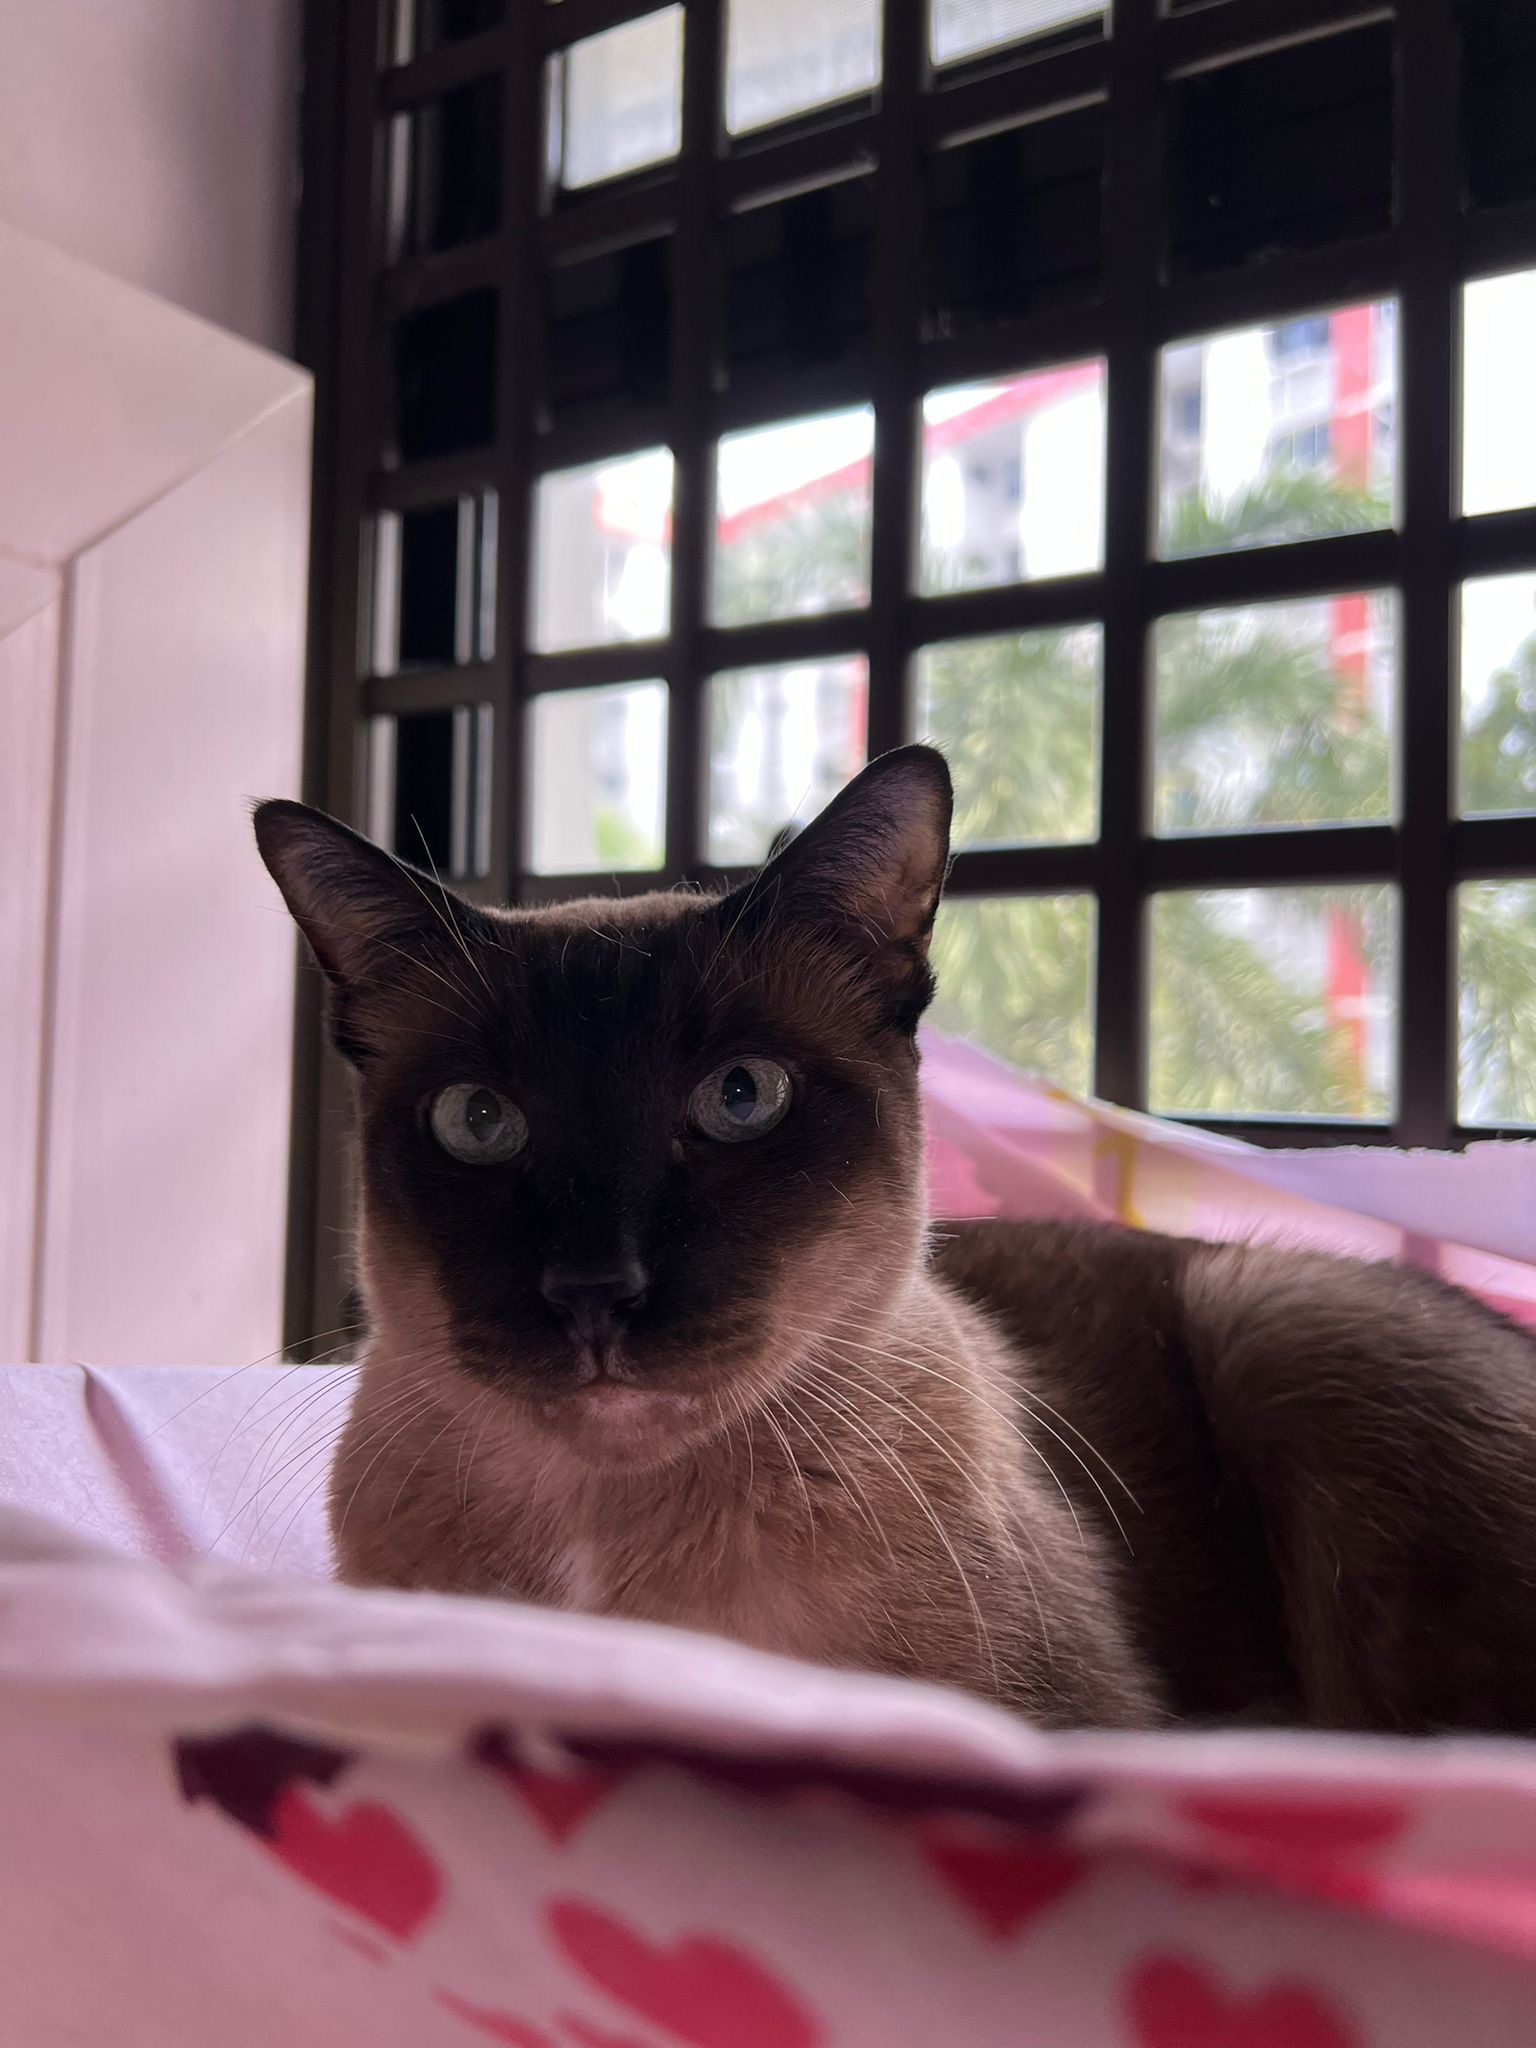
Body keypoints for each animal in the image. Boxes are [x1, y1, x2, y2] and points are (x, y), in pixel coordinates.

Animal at [256, 746, 1536, 1732]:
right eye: (477, 1121)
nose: (593, 1291)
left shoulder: (1085, 1718)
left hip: (1275, 1315)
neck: (603, 1550)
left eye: (742, 1097)